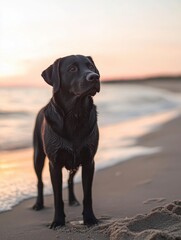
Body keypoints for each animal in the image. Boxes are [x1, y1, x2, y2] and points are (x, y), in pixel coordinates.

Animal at [32, 54, 100, 229]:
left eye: (91, 66)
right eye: (72, 68)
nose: (94, 77)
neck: (75, 115)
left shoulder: (88, 161)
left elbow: (88, 195)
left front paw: (90, 219)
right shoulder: (54, 164)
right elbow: (57, 197)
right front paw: (57, 221)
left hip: (75, 162)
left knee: (70, 180)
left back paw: (73, 200)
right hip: (38, 155)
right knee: (39, 181)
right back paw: (38, 204)